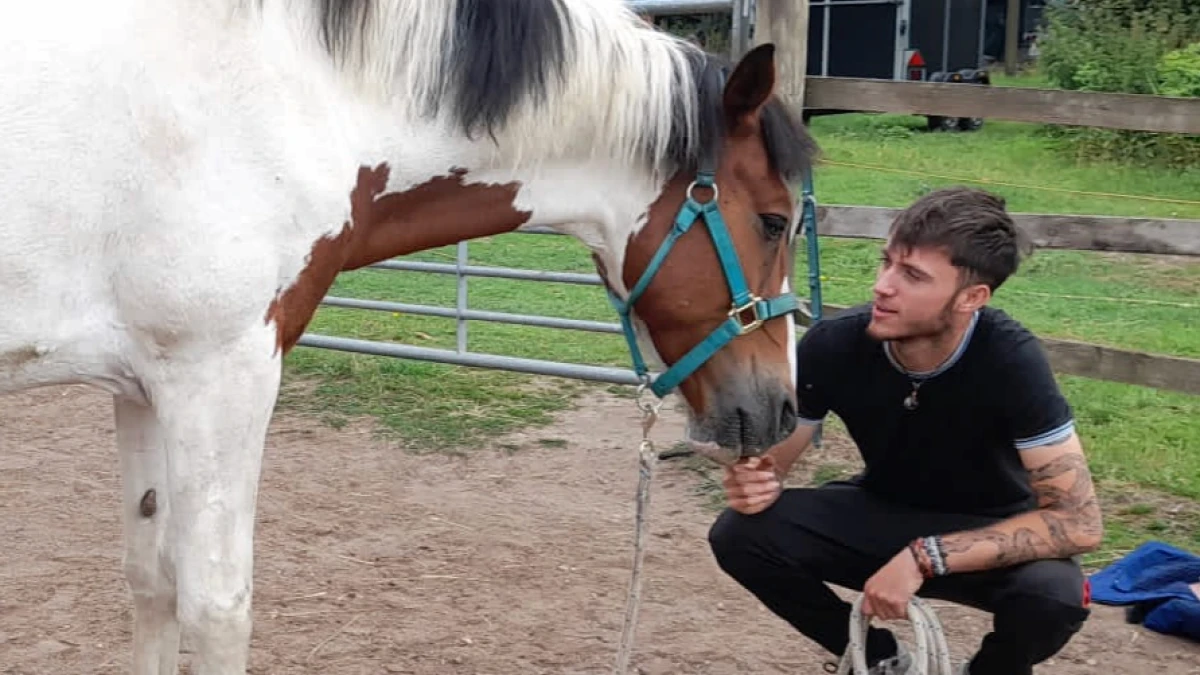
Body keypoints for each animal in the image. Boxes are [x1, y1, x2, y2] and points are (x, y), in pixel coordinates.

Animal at [0, 1, 816, 672]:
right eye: (775, 221)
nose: (781, 408)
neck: (287, 91)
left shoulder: (143, 384)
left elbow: (154, 582)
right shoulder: (219, 376)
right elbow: (218, 605)